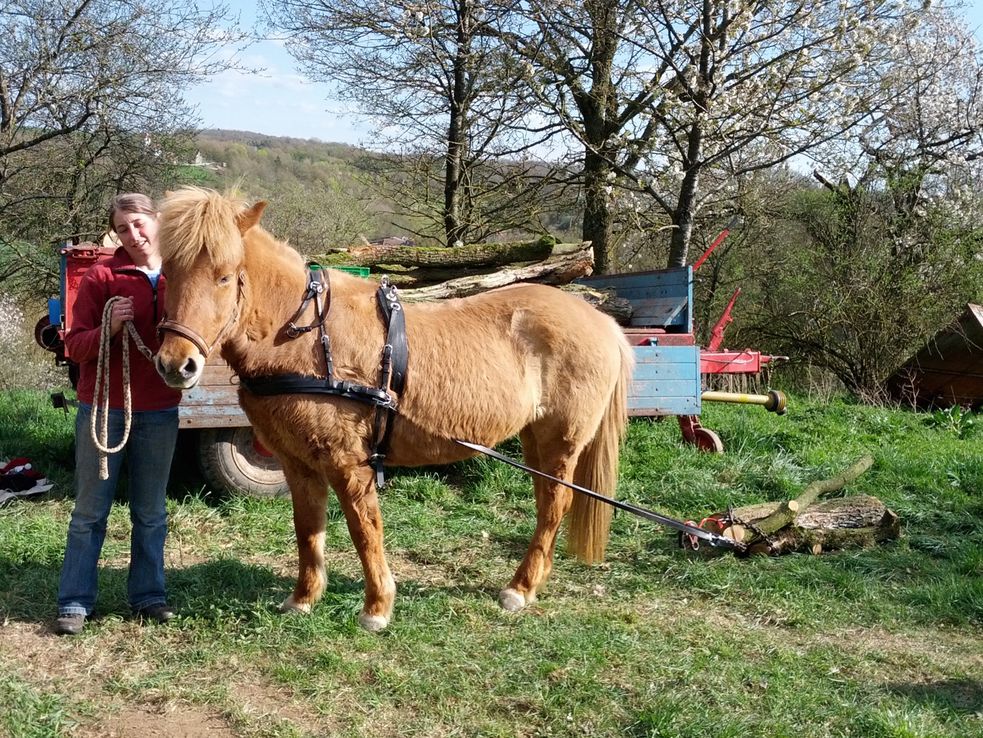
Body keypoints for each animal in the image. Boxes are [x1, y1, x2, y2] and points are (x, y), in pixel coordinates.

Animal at [152, 187, 632, 628]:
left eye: (225, 277)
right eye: (168, 273)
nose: (177, 364)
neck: (304, 339)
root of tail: (601, 320)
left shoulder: (348, 462)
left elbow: (364, 530)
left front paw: (377, 607)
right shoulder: (297, 463)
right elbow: (308, 529)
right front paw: (303, 599)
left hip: (561, 441)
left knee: (554, 506)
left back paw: (520, 588)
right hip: (535, 440)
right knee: (546, 502)